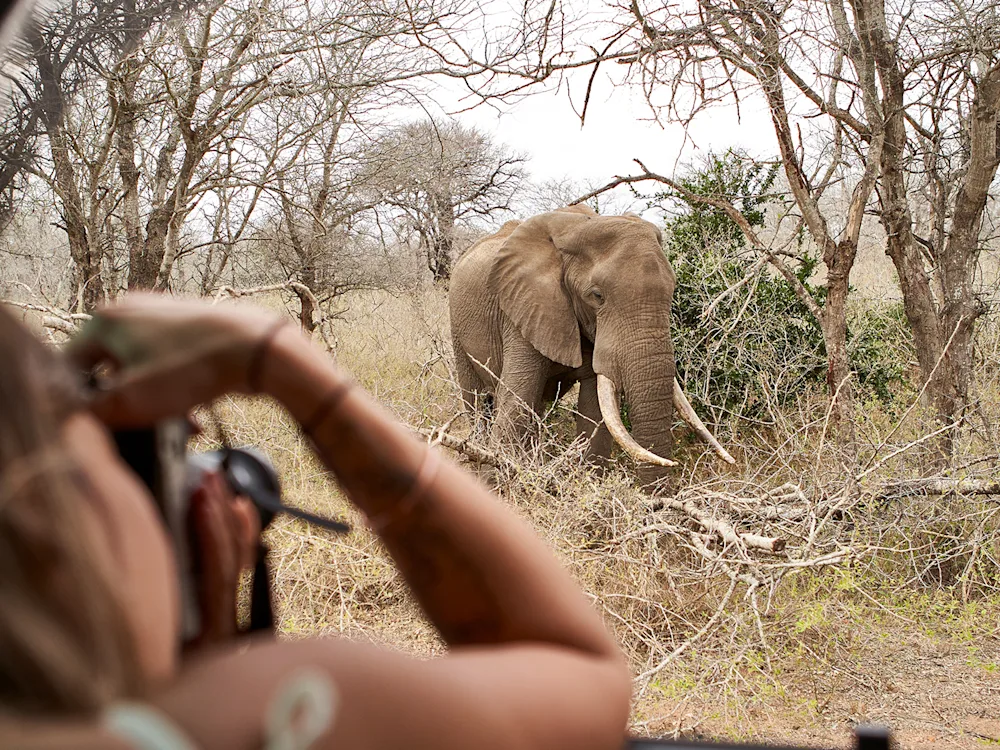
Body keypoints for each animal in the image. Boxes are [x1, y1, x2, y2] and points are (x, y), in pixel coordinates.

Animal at [448, 204, 734, 483]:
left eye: (673, 289)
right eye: (597, 296)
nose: (672, 468)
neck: (577, 227)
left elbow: (595, 411)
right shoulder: (524, 307)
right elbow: (517, 401)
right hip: (457, 327)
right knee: (477, 401)